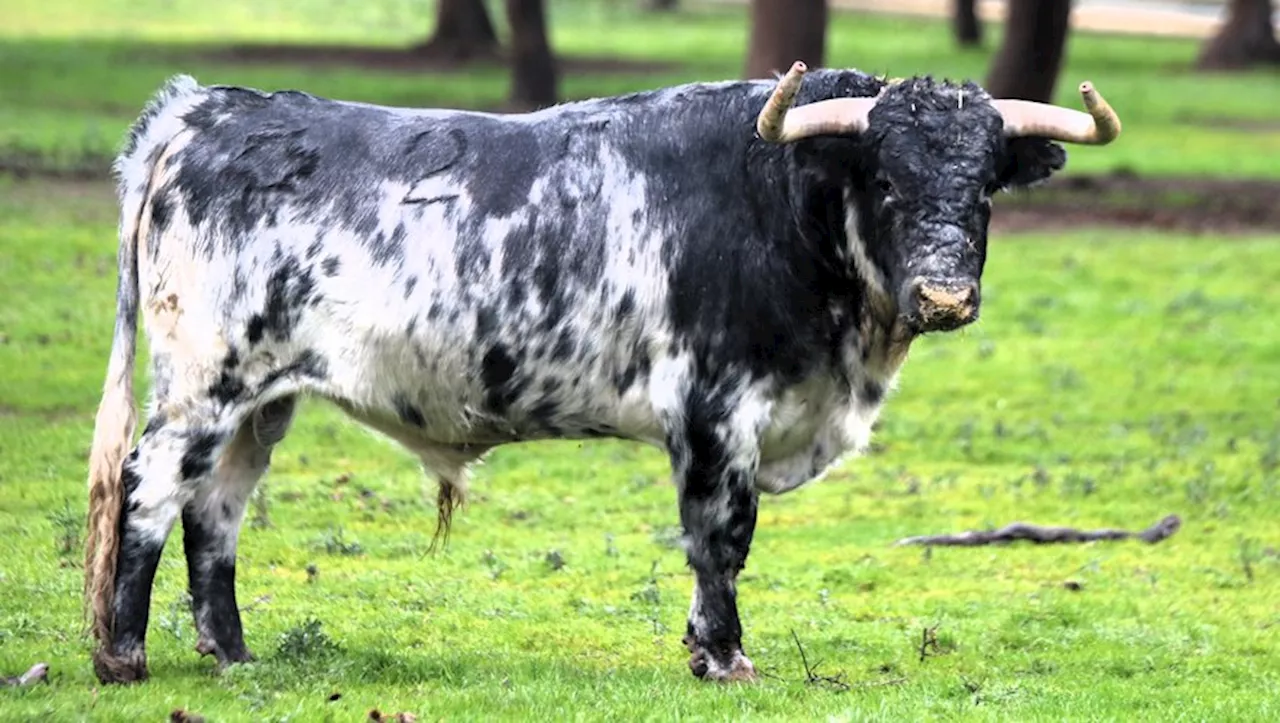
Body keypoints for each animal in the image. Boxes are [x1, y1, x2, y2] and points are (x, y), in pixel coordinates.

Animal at [82, 60, 1121, 680]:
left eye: (983, 189)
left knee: (216, 512)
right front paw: (723, 656)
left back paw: (233, 654)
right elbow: (719, 538)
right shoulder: (714, 410)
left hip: (265, 399)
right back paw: (123, 655)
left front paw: (704, 647)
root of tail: (207, 108)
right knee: (149, 491)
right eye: (887, 180)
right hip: (206, 384)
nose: (944, 295)